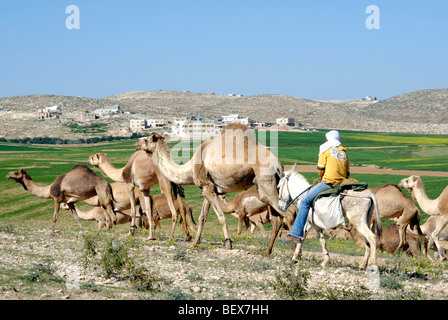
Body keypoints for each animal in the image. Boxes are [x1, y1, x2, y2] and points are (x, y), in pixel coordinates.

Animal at [139, 124, 288, 254]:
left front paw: (228, 243)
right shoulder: (209, 188)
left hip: (265, 180)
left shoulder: (207, 186)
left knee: (286, 214)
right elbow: (202, 218)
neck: (191, 168)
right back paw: (267, 251)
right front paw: (194, 243)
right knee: (276, 220)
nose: (138, 142)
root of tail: (278, 164)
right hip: (272, 184)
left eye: (146, 140)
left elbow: (221, 217)